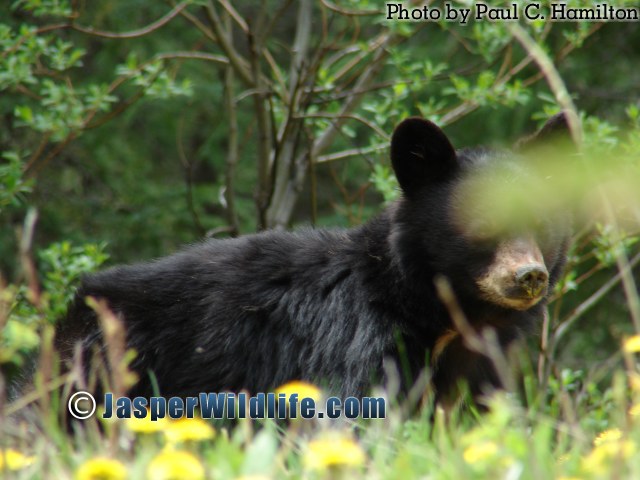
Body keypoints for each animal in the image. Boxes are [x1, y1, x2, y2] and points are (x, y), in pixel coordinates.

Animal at [56, 113, 568, 408]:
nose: (529, 276)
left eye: (541, 222)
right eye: (483, 224)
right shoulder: (355, 337)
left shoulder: (481, 361)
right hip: (104, 363)